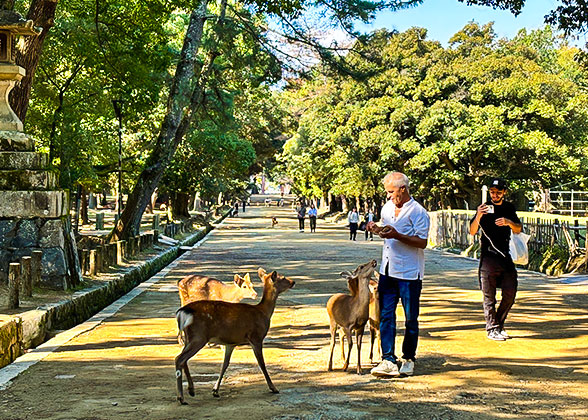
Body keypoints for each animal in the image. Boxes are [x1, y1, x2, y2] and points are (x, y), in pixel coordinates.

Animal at [173, 266, 294, 404]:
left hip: (190, 337)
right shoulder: (256, 337)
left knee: (182, 359)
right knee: (179, 359)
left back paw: (191, 390)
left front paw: (215, 390)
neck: (263, 312)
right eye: (283, 277)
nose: (293, 282)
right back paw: (181, 397)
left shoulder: (231, 343)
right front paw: (273, 388)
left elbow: (225, 364)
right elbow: (261, 363)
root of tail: (182, 312)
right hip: (199, 337)